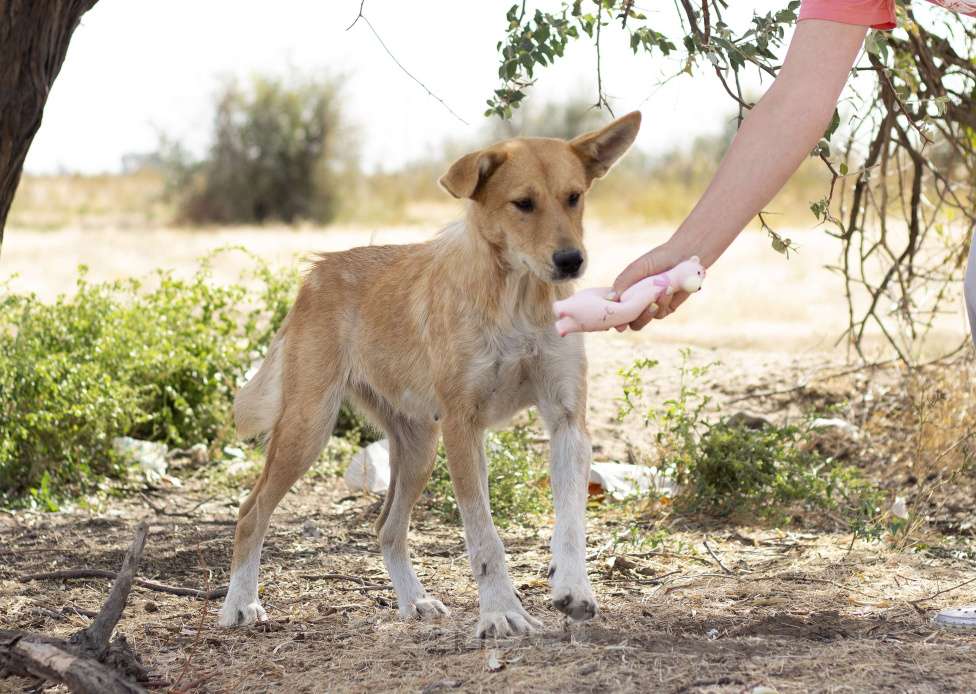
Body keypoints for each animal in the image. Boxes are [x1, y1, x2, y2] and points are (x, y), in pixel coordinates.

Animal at [217, 111, 640, 640]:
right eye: (523, 203)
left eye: (574, 197)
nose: (571, 261)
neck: (517, 298)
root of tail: (316, 273)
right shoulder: (464, 425)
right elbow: (484, 538)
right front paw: (500, 612)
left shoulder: (566, 419)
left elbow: (570, 523)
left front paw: (574, 589)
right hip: (308, 428)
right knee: (250, 512)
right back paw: (239, 603)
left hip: (419, 446)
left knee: (387, 529)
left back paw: (413, 600)